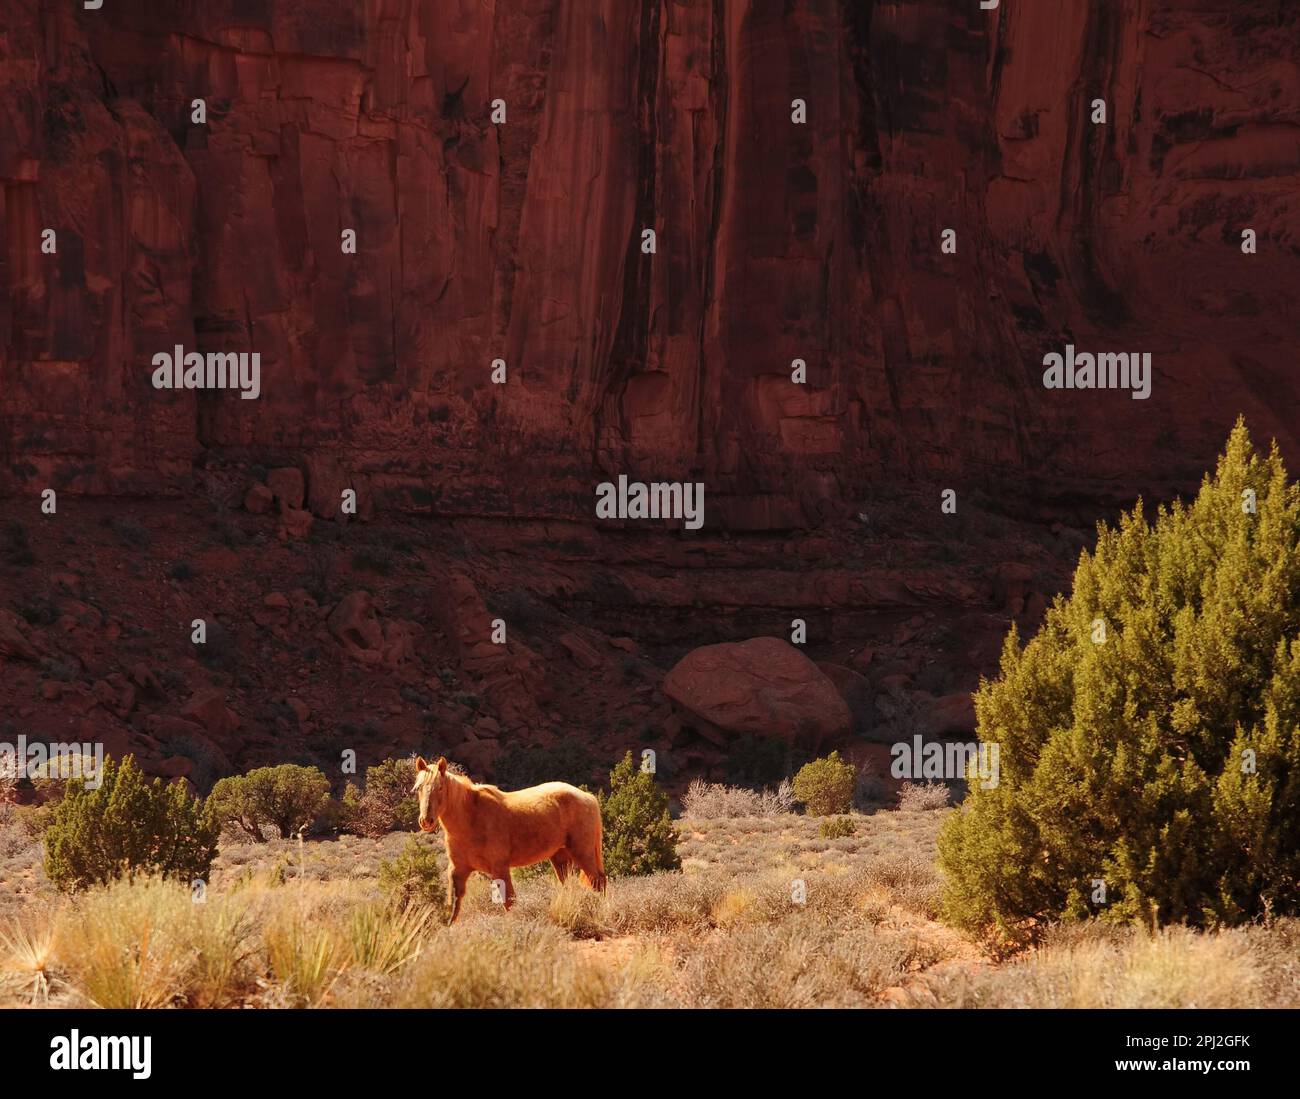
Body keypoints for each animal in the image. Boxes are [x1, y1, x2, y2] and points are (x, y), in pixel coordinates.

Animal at [408, 754, 605, 915]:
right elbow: (453, 909)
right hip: (560, 857)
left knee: (598, 881)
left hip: (582, 852)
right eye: (418, 788)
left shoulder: (500, 868)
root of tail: (588, 797)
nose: (426, 820)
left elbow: (509, 902)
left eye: (440, 788)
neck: (471, 817)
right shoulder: (458, 871)